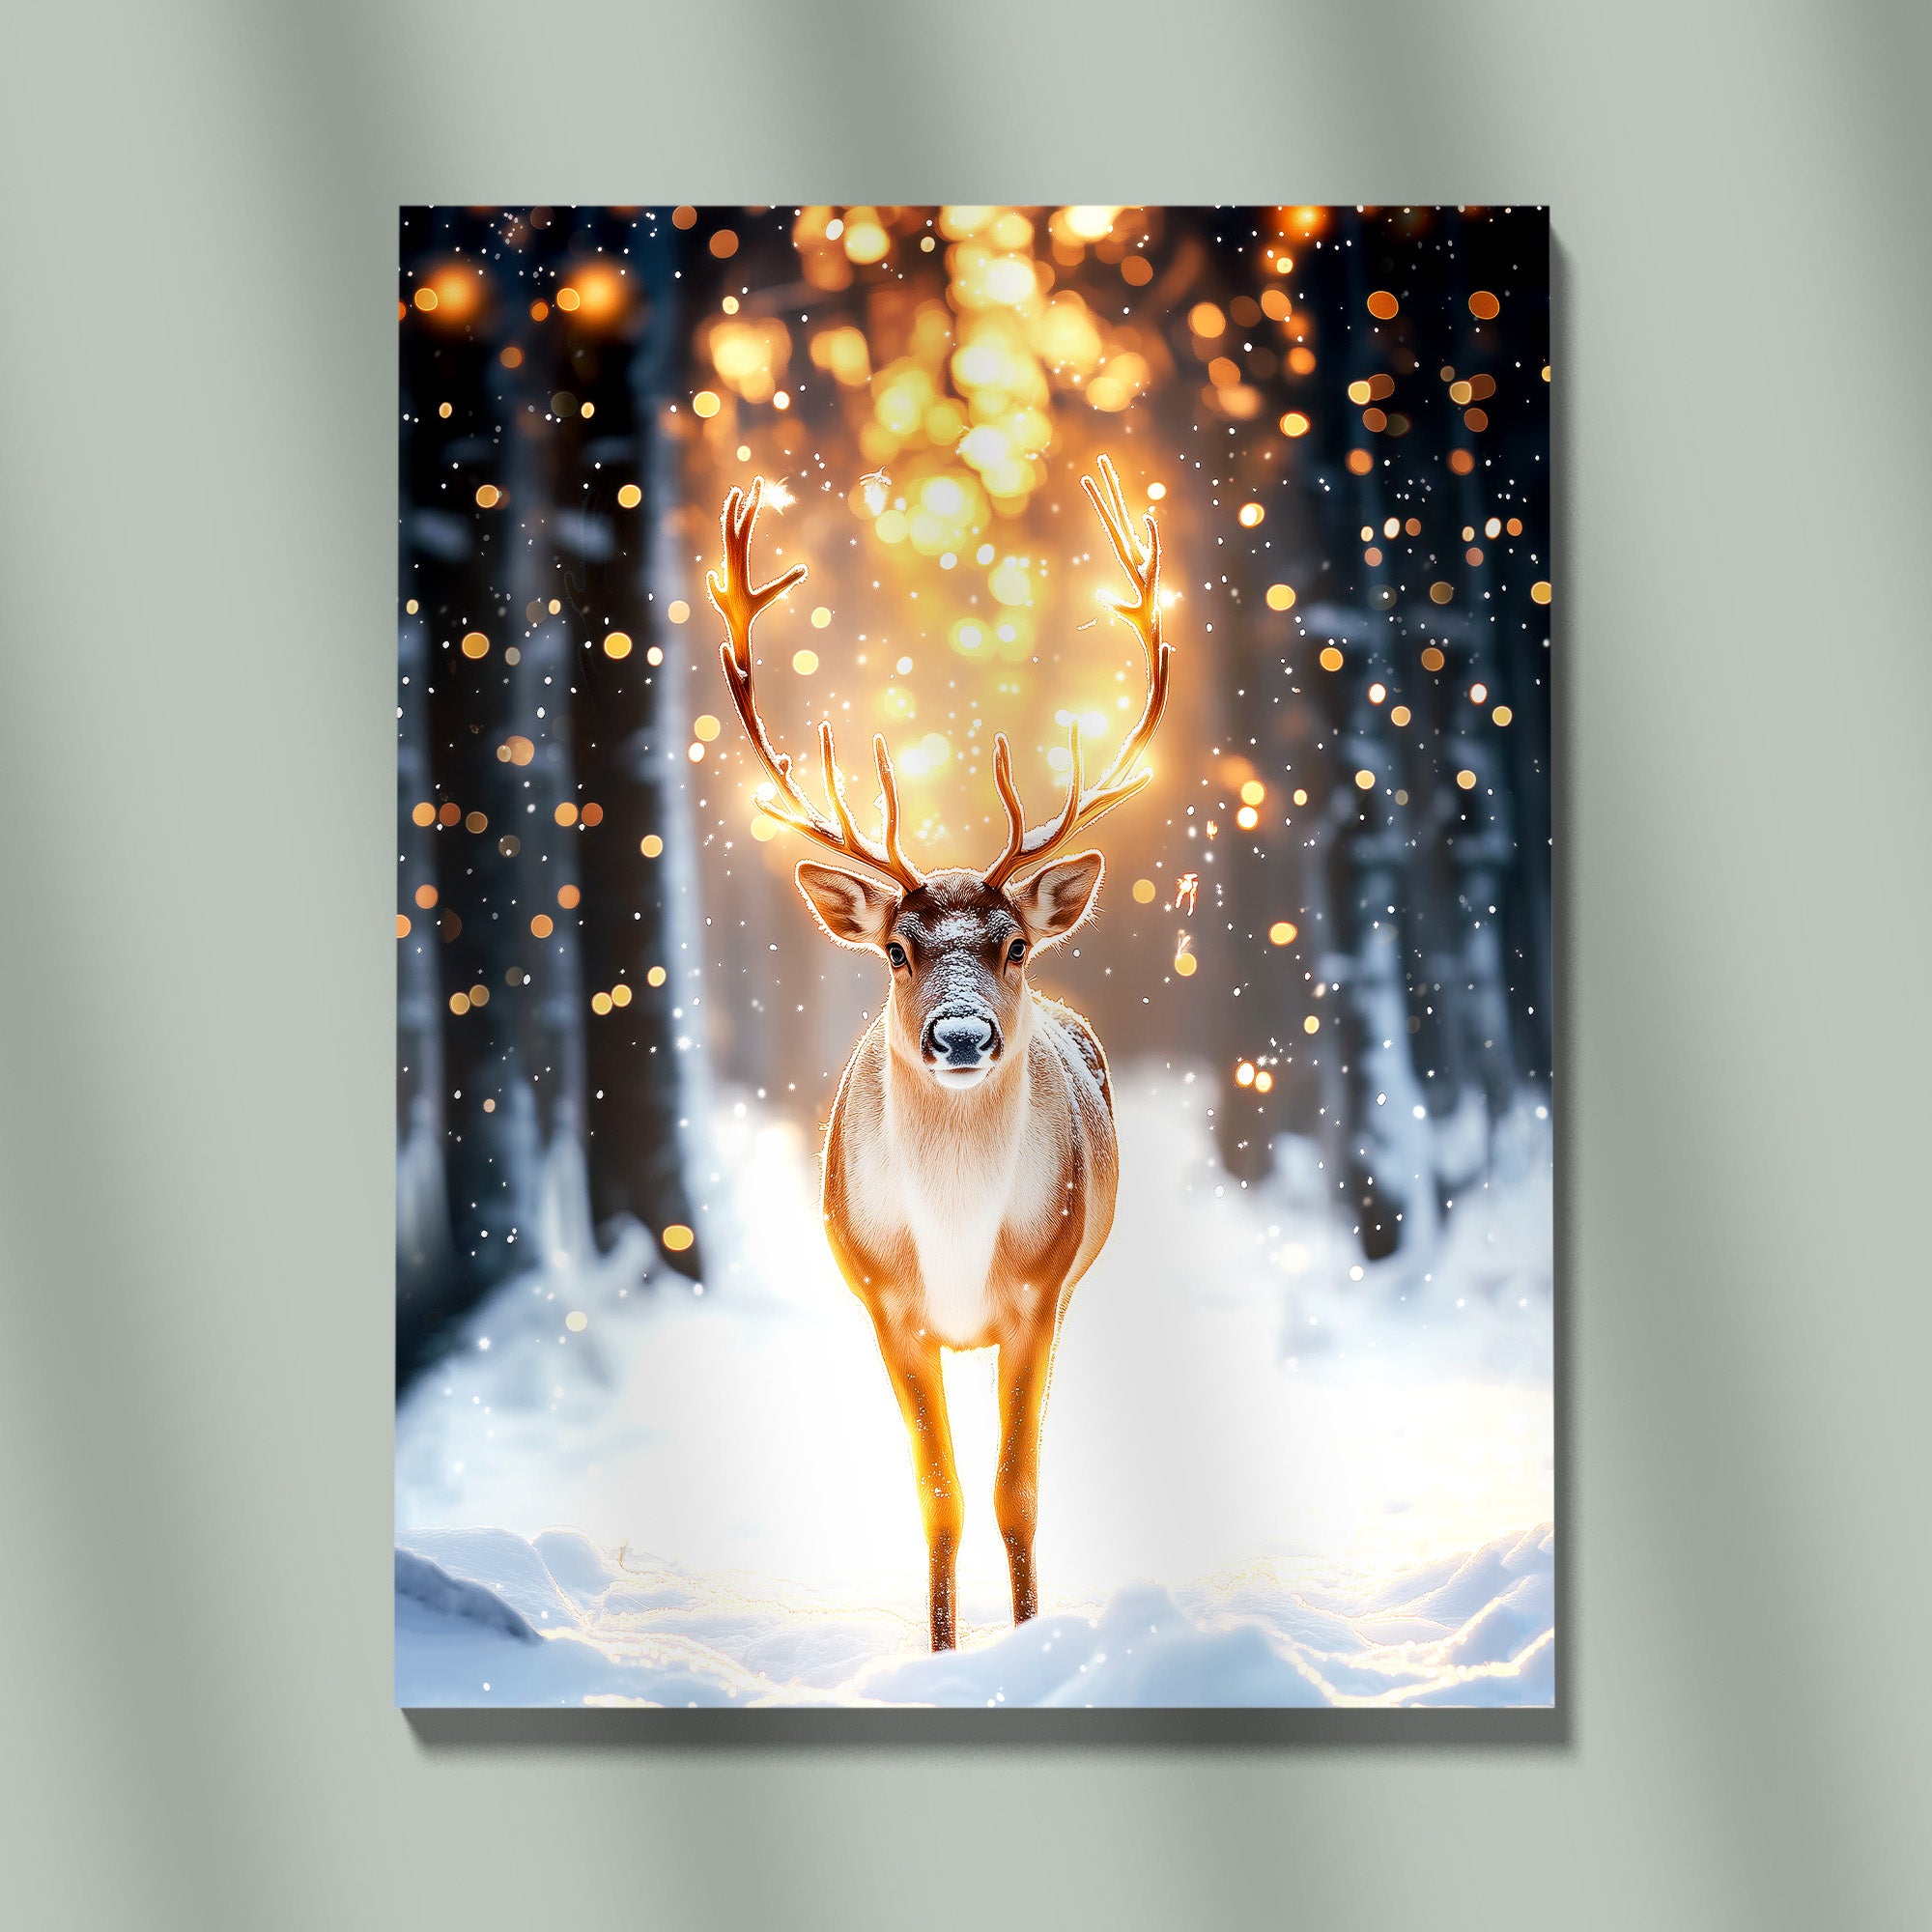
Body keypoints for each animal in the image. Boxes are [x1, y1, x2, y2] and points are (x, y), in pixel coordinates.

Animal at [706, 457, 1172, 1652]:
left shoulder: (1039, 1292)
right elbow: (939, 1494)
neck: (957, 1241)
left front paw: (1024, 1638)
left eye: (1012, 944)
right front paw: (941, 1649)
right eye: (894, 948)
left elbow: (1015, 1489)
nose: (960, 1034)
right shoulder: (883, 1300)